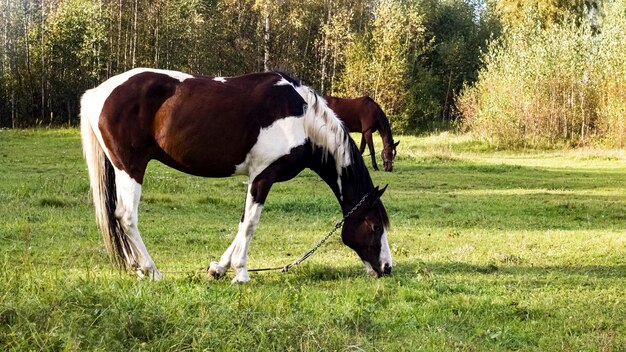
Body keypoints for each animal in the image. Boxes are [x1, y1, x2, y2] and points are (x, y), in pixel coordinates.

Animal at [78, 68, 390, 284]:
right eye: (375, 226)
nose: (387, 268)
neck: (303, 120)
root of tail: (97, 93)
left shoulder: (255, 179)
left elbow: (242, 223)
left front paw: (219, 268)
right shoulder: (263, 177)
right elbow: (250, 224)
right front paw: (241, 273)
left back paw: (138, 269)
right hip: (130, 168)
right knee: (126, 216)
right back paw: (151, 271)